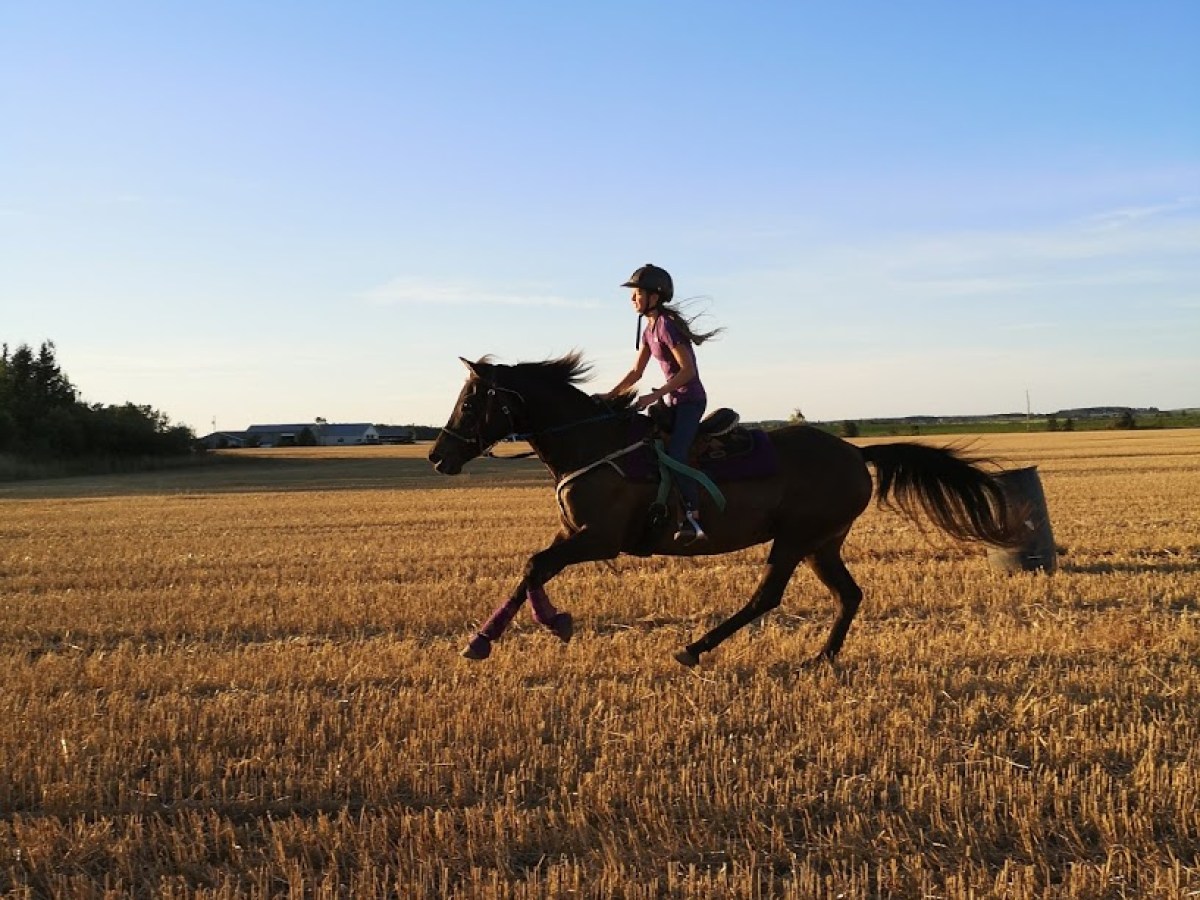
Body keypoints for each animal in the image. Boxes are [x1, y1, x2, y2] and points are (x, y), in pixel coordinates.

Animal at [428, 353, 1022, 667]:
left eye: (470, 401)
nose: (437, 457)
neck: (593, 444)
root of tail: (857, 452)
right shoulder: (574, 535)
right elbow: (530, 570)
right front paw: (490, 638)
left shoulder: (599, 539)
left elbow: (533, 567)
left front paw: (541, 626)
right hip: (822, 543)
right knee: (848, 595)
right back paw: (822, 657)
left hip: (796, 538)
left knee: (767, 596)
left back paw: (694, 649)